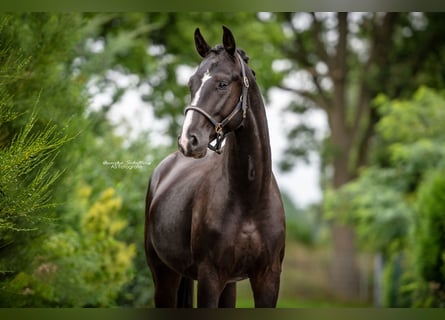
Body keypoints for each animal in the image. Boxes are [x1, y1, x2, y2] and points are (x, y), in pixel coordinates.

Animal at [144, 25, 286, 308]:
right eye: (191, 83)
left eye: (222, 83)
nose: (188, 140)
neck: (250, 199)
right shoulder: (210, 277)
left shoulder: (268, 278)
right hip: (164, 275)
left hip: (228, 285)